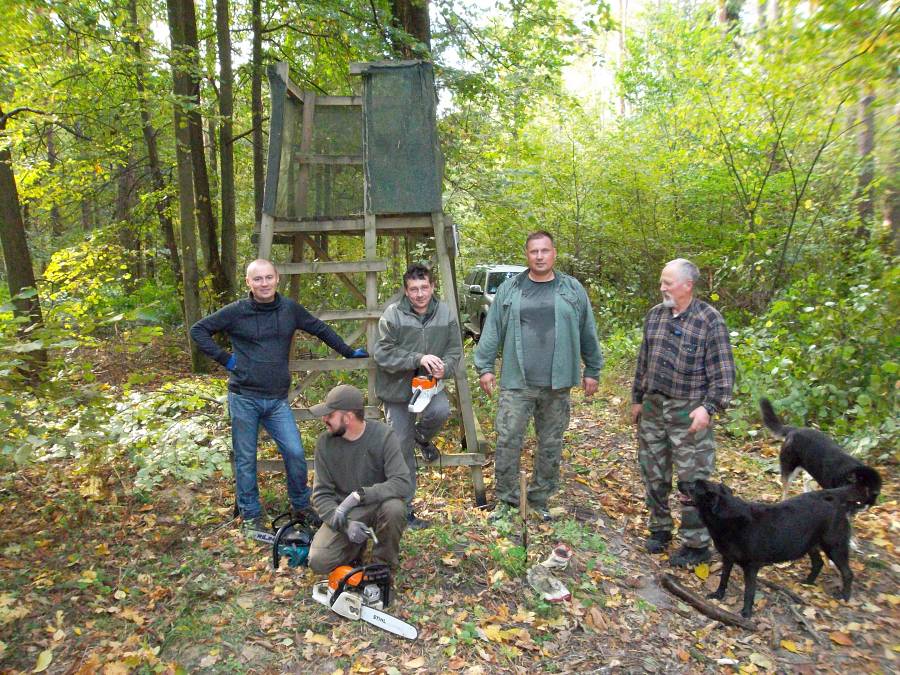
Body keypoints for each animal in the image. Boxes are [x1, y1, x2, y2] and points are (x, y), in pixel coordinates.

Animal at [679, 479, 853, 618]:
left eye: (694, 486)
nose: (679, 481)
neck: (729, 517)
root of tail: (833, 500)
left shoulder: (751, 567)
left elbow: (749, 592)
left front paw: (746, 613)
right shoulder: (727, 557)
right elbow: (723, 578)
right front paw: (718, 595)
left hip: (834, 547)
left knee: (847, 573)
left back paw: (844, 597)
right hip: (809, 545)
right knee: (818, 563)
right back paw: (807, 582)